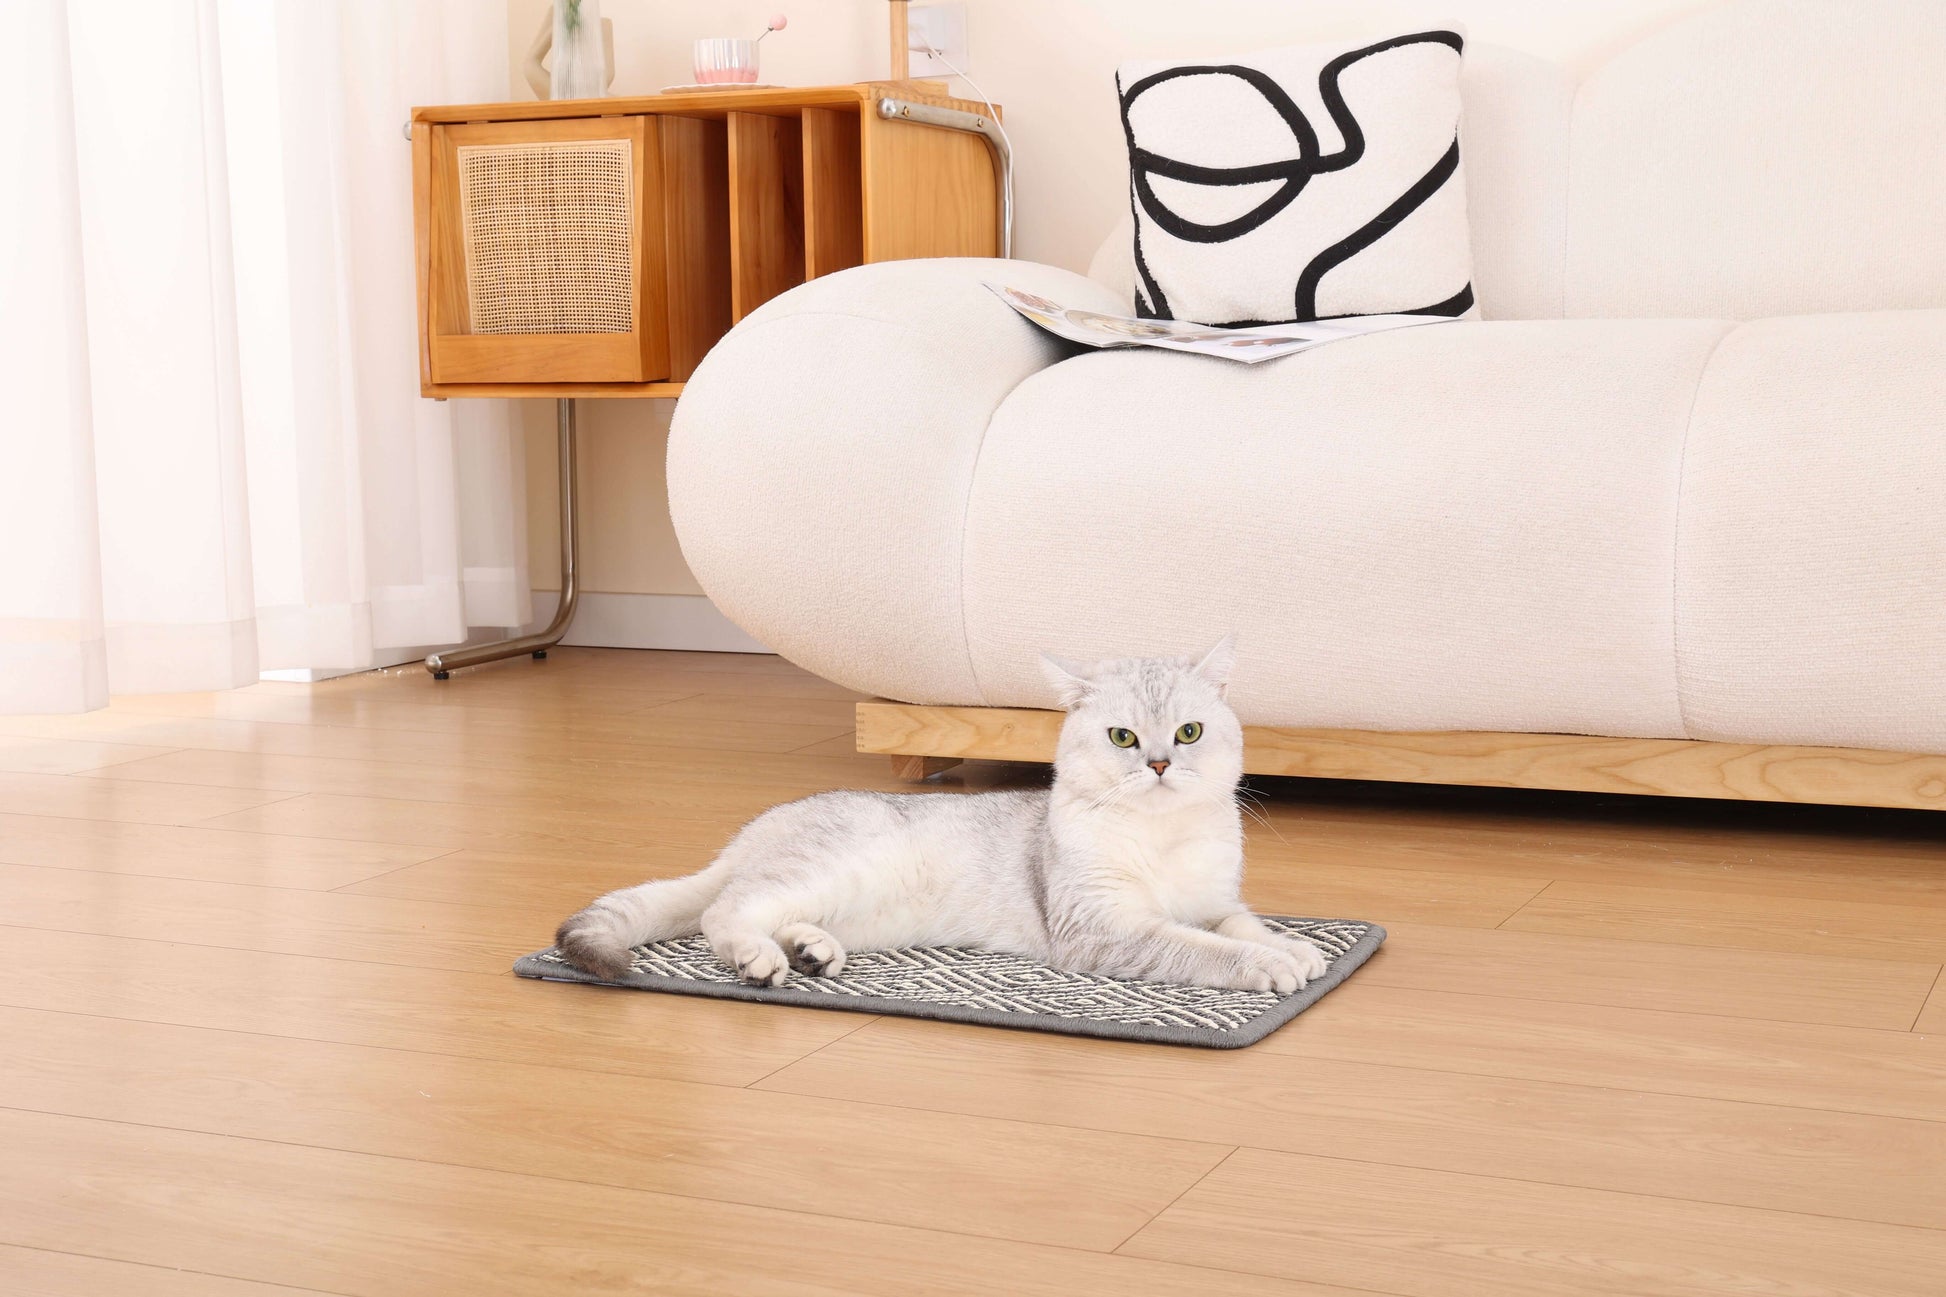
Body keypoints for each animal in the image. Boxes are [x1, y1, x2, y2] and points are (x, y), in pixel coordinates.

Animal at [556, 634, 1331, 989]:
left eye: (1189, 732)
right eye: (1123, 738)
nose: (1161, 765)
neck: (1163, 836)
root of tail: (745, 838)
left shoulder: (1215, 899)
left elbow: (1243, 923)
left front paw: (1294, 947)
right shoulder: (1107, 927)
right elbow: (1205, 946)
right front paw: (1270, 965)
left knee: (771, 914)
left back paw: (810, 950)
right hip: (823, 869)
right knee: (725, 912)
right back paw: (760, 958)